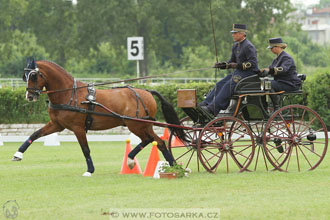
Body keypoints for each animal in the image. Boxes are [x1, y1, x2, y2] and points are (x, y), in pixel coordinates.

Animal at [11, 59, 184, 176]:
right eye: (25, 76)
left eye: (33, 75)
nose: (29, 96)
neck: (69, 94)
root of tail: (147, 91)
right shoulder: (56, 124)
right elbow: (35, 134)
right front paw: (18, 154)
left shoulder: (78, 128)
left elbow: (85, 149)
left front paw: (90, 170)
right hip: (143, 125)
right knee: (158, 142)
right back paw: (172, 166)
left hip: (135, 125)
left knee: (150, 140)